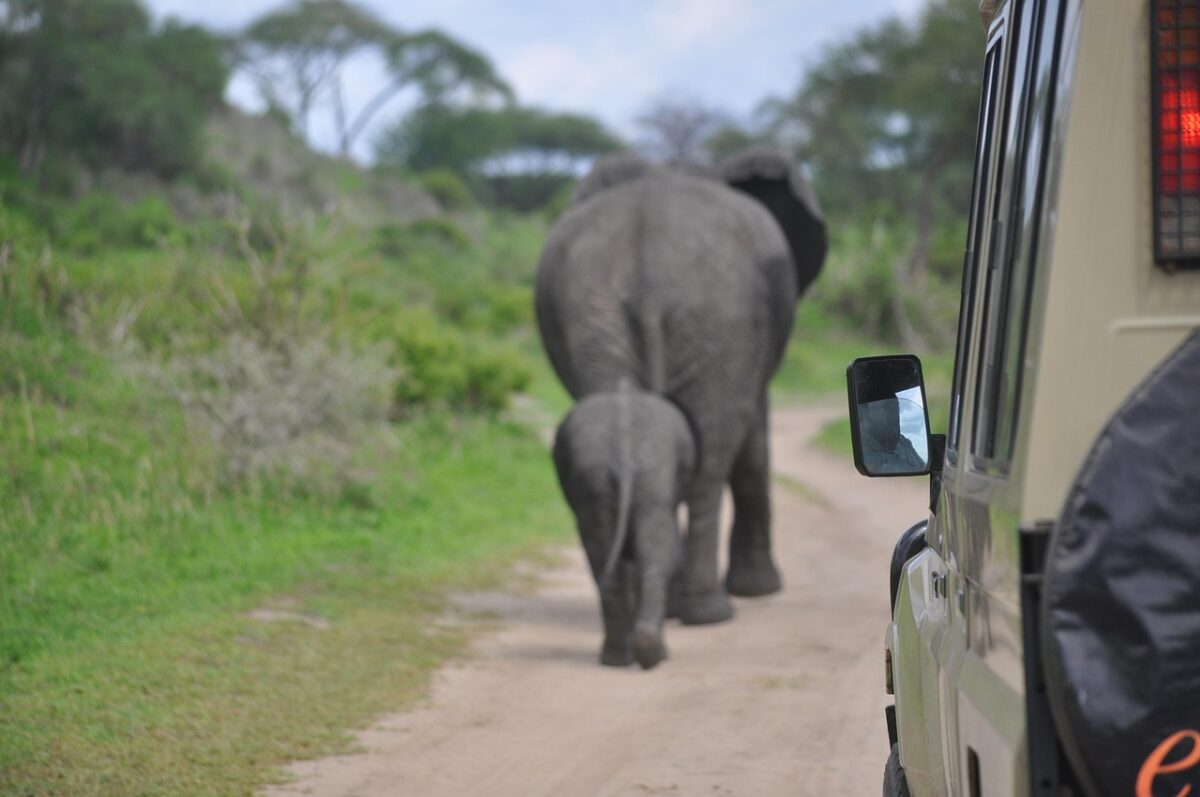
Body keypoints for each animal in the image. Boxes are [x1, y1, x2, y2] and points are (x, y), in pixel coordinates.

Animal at [536, 149, 826, 666]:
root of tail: (648, 269)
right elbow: (754, 445)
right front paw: (760, 590)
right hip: (724, 319)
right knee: (713, 459)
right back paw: (709, 613)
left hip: (595, 310)